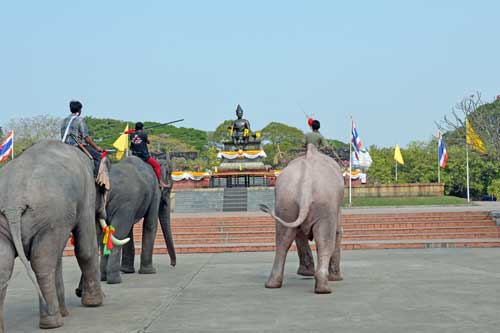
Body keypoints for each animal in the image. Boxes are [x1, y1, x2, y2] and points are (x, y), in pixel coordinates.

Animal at [0, 140, 127, 330]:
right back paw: (52, 322)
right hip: (49, 216)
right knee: (42, 262)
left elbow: (58, 257)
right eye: (105, 190)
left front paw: (67, 312)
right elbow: (85, 248)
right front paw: (95, 303)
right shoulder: (86, 196)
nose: (78, 291)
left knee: (5, 267)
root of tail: (13, 203)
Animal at [260, 143, 346, 294]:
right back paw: (324, 288)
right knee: (325, 240)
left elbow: (297, 233)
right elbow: (337, 232)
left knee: (283, 239)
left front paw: (305, 273)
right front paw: (336, 279)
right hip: (325, 204)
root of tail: (306, 184)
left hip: (285, 202)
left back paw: (272, 284)